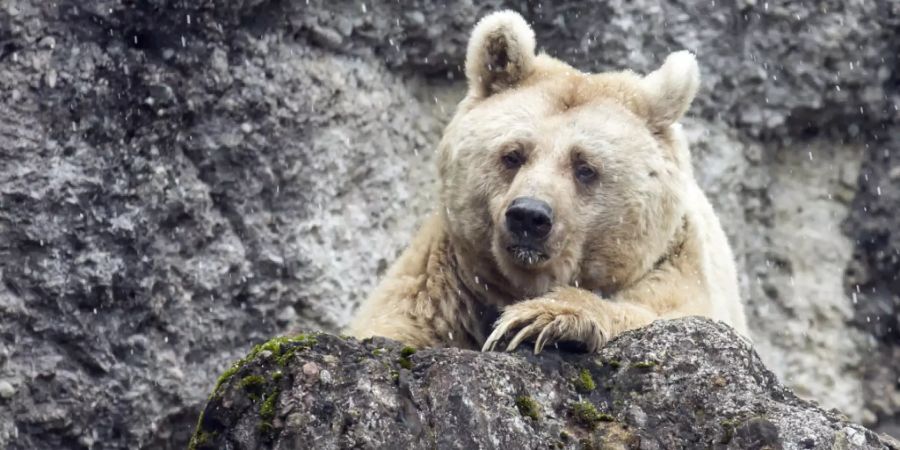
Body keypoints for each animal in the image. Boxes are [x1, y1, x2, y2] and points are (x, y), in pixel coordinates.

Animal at [346, 8, 752, 354]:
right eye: (513, 154)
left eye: (584, 166)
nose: (529, 216)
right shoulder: (438, 286)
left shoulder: (679, 267)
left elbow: (663, 313)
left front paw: (540, 319)